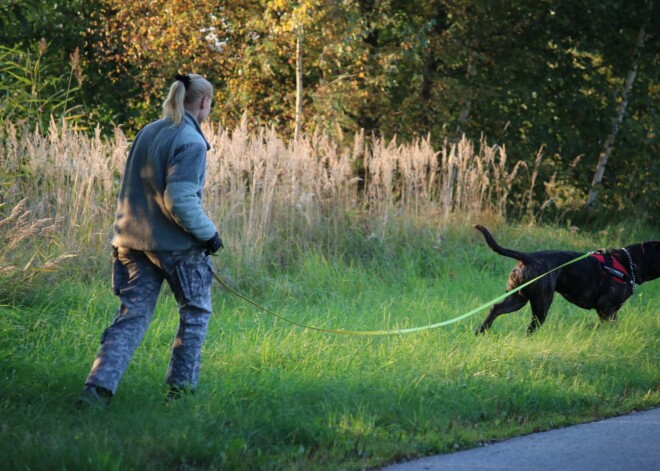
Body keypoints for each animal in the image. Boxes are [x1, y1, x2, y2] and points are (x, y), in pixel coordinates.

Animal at [474, 226, 660, 334]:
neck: (629, 263)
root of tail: (527, 257)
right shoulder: (606, 307)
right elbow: (605, 325)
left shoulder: (611, 310)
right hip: (541, 303)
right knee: (531, 326)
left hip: (517, 299)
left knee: (496, 308)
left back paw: (481, 331)